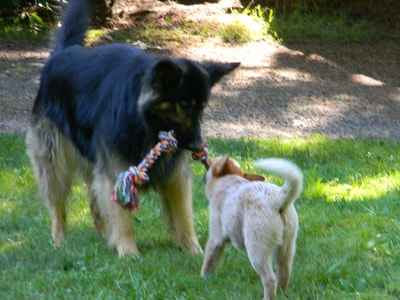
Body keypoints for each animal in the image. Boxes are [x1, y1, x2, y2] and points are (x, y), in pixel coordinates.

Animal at [26, 0, 239, 258]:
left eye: (202, 107)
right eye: (185, 105)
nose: (198, 145)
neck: (142, 123)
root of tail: (62, 53)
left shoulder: (176, 174)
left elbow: (183, 217)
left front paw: (194, 250)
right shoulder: (116, 168)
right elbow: (122, 215)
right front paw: (128, 253)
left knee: (94, 198)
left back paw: (103, 236)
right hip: (53, 161)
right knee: (58, 204)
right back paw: (59, 242)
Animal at [202, 157, 302, 300]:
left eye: (215, 160)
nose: (205, 158)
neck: (228, 181)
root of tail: (276, 201)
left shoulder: (216, 238)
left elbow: (209, 261)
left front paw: (204, 279)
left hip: (256, 249)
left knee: (269, 279)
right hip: (286, 247)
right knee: (284, 273)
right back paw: (281, 292)